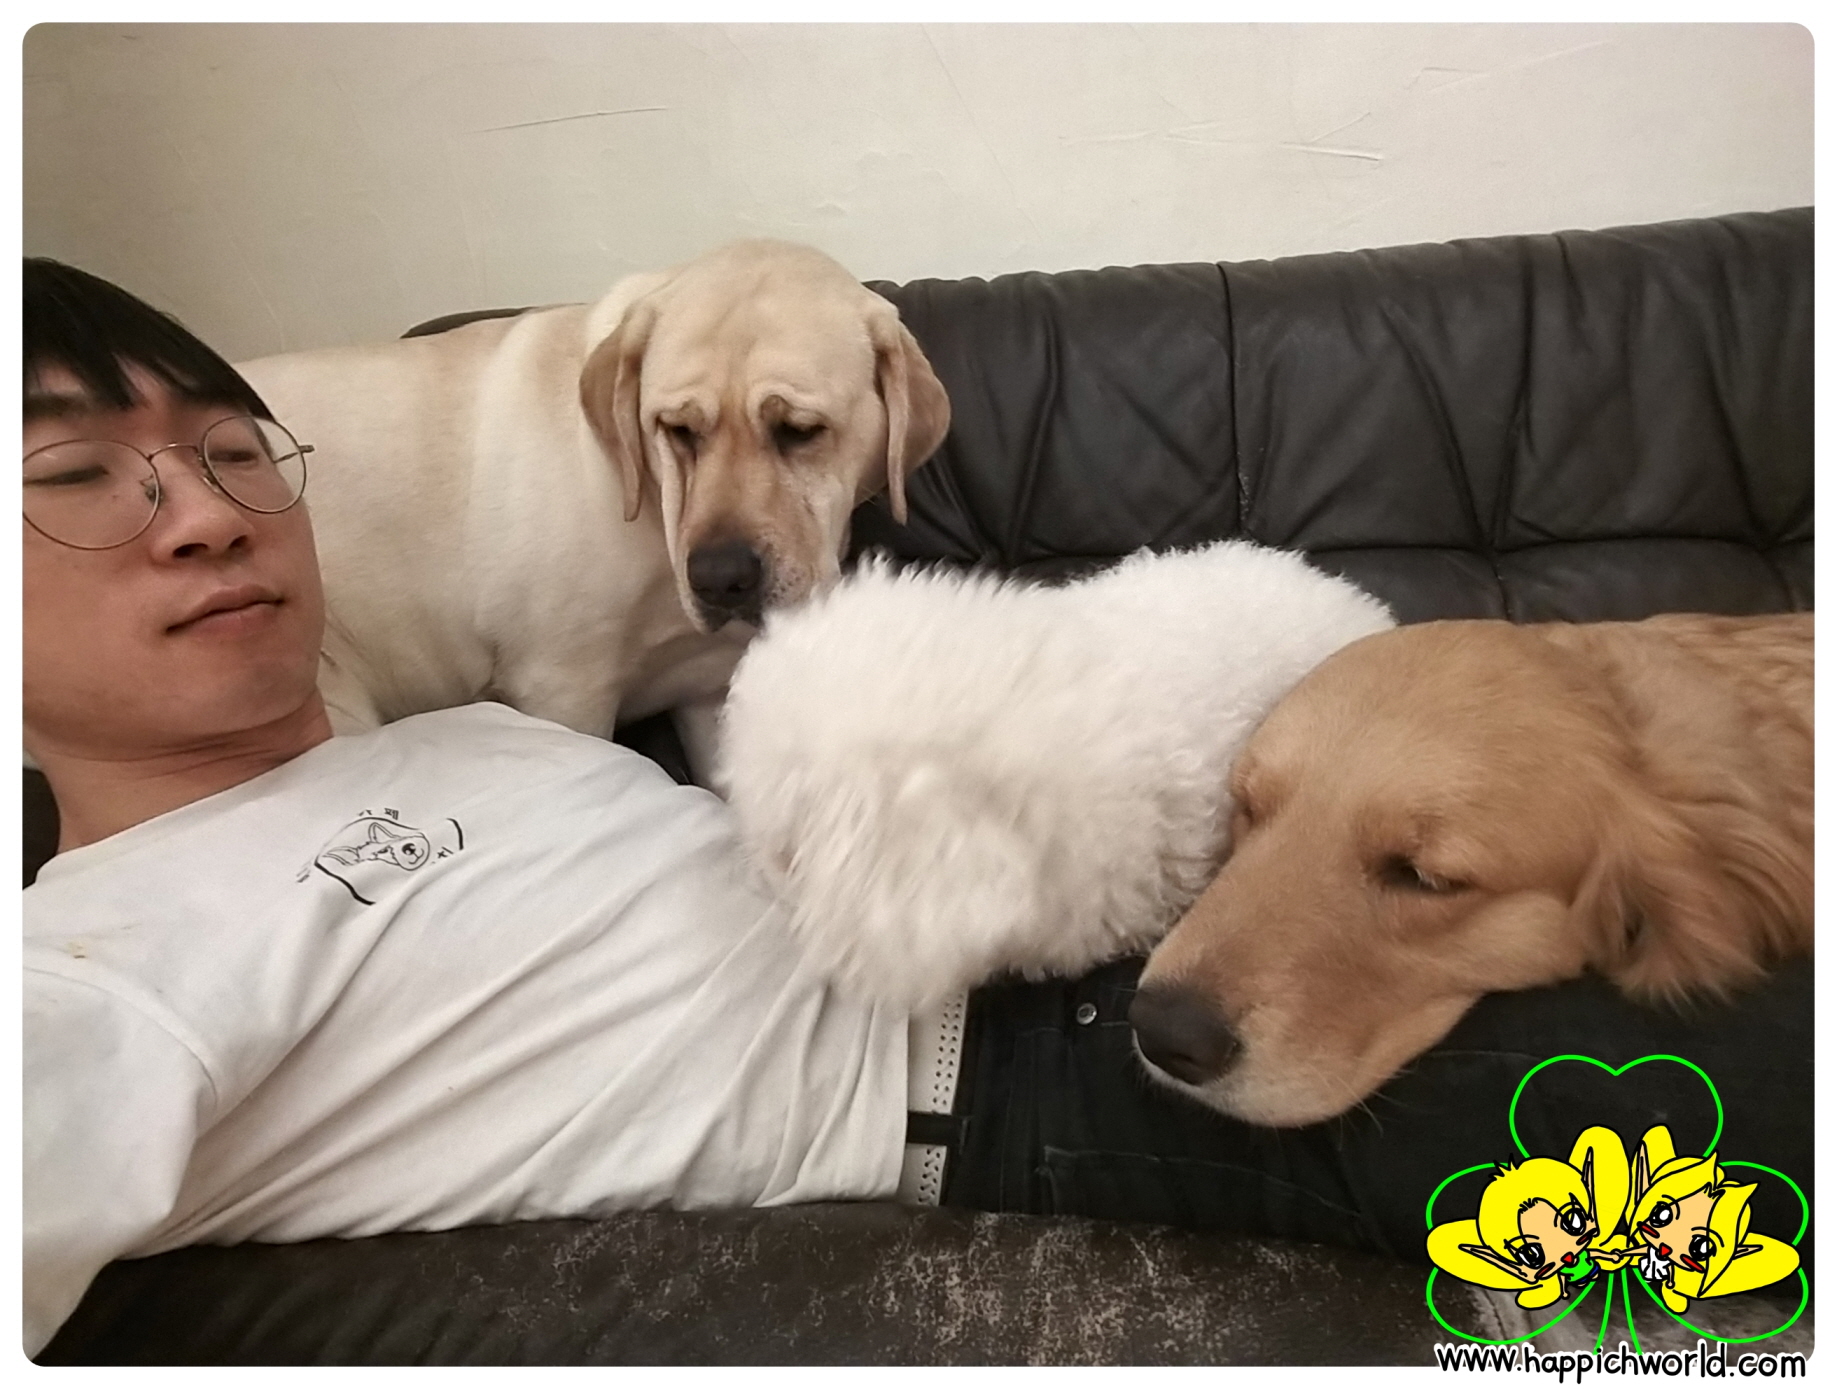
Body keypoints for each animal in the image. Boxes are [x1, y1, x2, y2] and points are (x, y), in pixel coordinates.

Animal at [238, 240, 949, 769]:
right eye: (677, 429)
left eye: (799, 430)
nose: (719, 578)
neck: (657, 521)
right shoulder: (560, 691)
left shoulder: (707, 690)